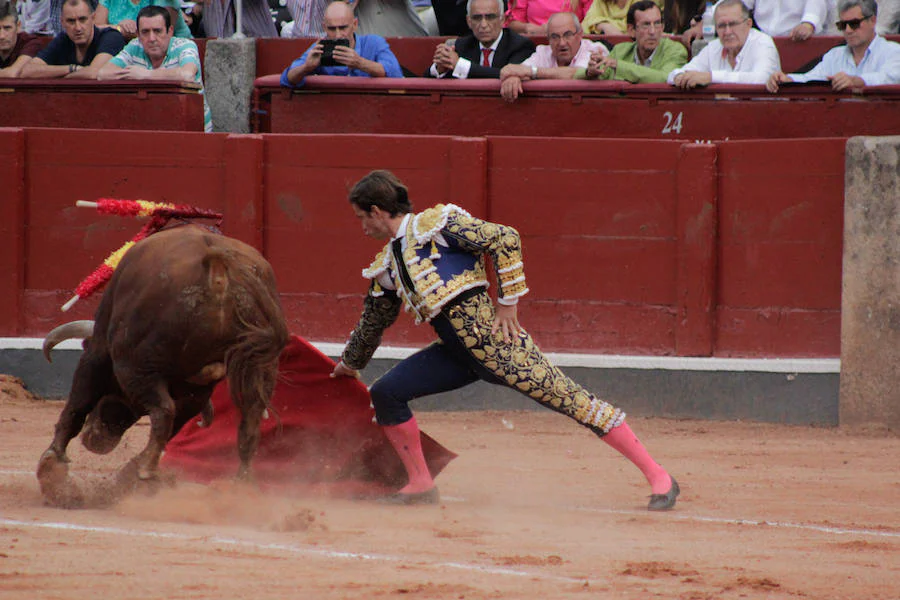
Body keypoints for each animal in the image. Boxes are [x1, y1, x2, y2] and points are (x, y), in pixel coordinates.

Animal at [37, 225, 288, 506]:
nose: (95, 440)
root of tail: (217, 270)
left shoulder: (100, 351)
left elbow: (77, 404)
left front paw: (51, 466)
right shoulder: (195, 392)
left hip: (136, 366)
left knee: (163, 411)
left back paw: (144, 471)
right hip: (260, 368)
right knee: (249, 424)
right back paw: (240, 486)